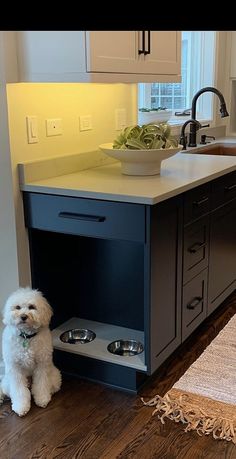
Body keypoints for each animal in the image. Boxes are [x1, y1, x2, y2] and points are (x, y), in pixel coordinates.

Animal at [0, 288, 61, 416]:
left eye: (32, 307)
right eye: (17, 307)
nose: (23, 316)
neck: (26, 337)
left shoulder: (42, 365)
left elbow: (41, 384)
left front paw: (42, 399)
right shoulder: (15, 369)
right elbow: (19, 390)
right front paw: (21, 406)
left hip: (56, 378)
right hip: (7, 383)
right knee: (4, 388)